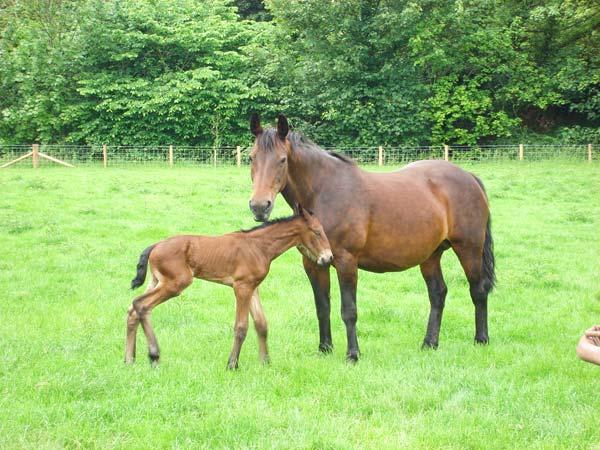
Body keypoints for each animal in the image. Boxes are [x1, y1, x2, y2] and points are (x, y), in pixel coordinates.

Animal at [126, 207, 332, 370]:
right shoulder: (242, 287)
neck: (258, 246)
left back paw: (129, 359)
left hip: (156, 281)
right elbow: (241, 327)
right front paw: (232, 364)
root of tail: (155, 245)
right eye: (317, 232)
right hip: (175, 284)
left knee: (132, 310)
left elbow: (261, 324)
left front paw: (265, 362)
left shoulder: (253, 288)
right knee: (141, 305)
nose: (328, 258)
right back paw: (153, 356)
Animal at [246, 114, 494, 360]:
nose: (259, 206)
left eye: (282, 160)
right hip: (431, 255)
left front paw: (353, 354)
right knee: (438, 294)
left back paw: (481, 339)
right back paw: (429, 343)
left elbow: (349, 310)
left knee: (478, 290)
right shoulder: (313, 263)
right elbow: (322, 307)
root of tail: (469, 177)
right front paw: (325, 349)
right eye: (251, 157)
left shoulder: (346, 261)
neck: (324, 192)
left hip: (469, 249)